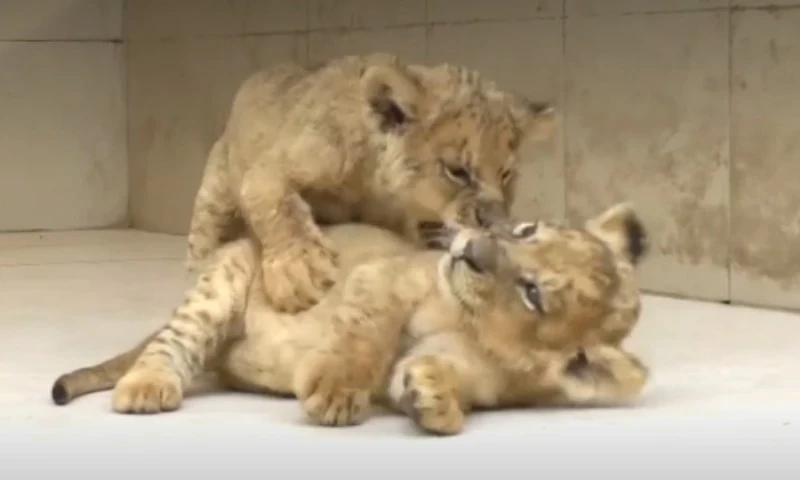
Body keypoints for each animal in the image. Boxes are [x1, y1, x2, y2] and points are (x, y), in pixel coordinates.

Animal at [52, 202, 650, 435]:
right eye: (526, 231)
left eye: (533, 293)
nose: (468, 250)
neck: (468, 321)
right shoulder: (385, 275)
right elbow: (365, 329)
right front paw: (336, 391)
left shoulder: (479, 369)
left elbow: (435, 373)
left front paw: (433, 398)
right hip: (224, 278)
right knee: (171, 342)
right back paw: (146, 387)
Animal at [186, 52, 556, 313]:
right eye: (457, 170)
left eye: (506, 175)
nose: (495, 223)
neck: (373, 189)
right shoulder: (271, 166)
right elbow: (276, 202)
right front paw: (301, 271)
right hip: (216, 188)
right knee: (202, 234)